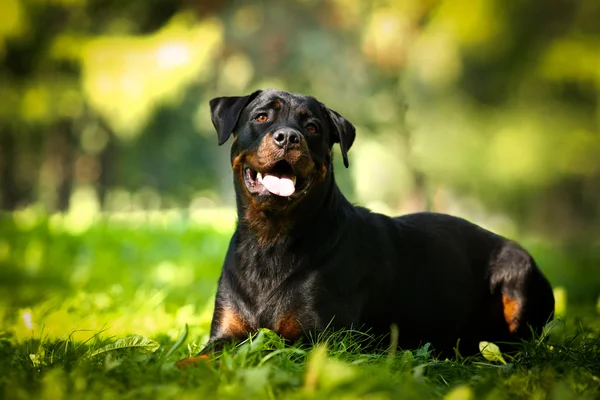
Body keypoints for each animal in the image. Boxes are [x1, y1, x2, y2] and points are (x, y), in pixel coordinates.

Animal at [176, 89, 556, 368]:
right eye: (261, 117)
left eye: (312, 127)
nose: (287, 137)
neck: (270, 239)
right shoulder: (225, 333)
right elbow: (203, 355)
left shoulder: (321, 340)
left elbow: (269, 351)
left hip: (518, 276)